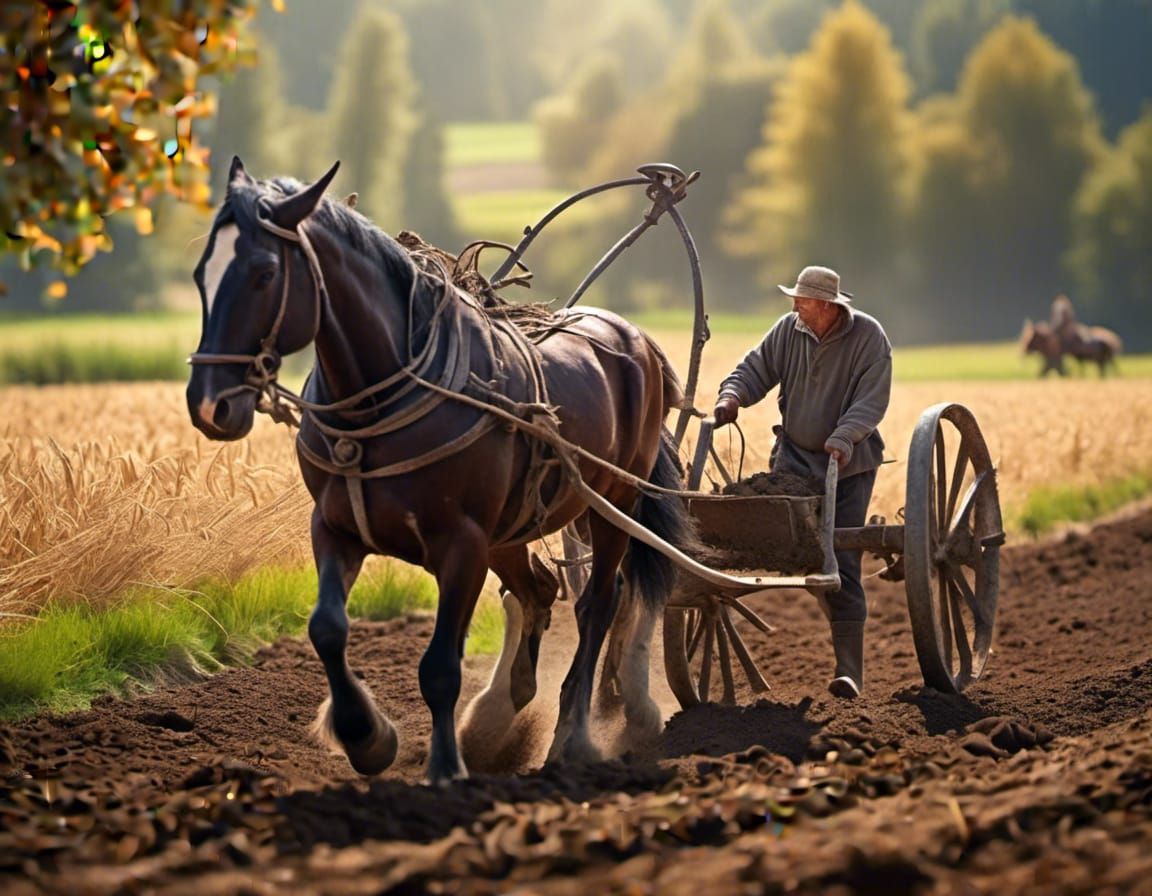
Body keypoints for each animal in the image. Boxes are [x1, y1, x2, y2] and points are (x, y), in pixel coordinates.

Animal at [185, 158, 695, 784]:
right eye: (202, 274)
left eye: (263, 273)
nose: (209, 404)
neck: (380, 402)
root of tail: (637, 338)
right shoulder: (334, 526)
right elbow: (327, 628)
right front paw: (366, 736)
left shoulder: (463, 543)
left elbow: (439, 668)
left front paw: (446, 767)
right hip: (516, 527)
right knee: (540, 589)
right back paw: (507, 706)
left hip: (615, 503)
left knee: (599, 602)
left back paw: (571, 737)